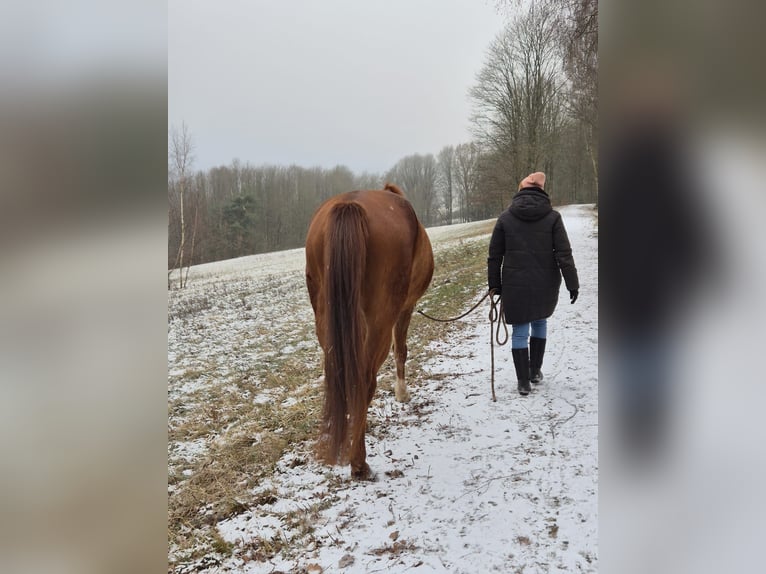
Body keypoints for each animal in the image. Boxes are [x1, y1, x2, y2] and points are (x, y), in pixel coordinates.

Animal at [304, 183, 434, 479]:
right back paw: (359, 463)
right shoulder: (405, 308)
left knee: (341, 373)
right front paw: (402, 393)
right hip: (381, 319)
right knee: (364, 379)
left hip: (326, 318)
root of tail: (350, 205)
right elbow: (401, 350)